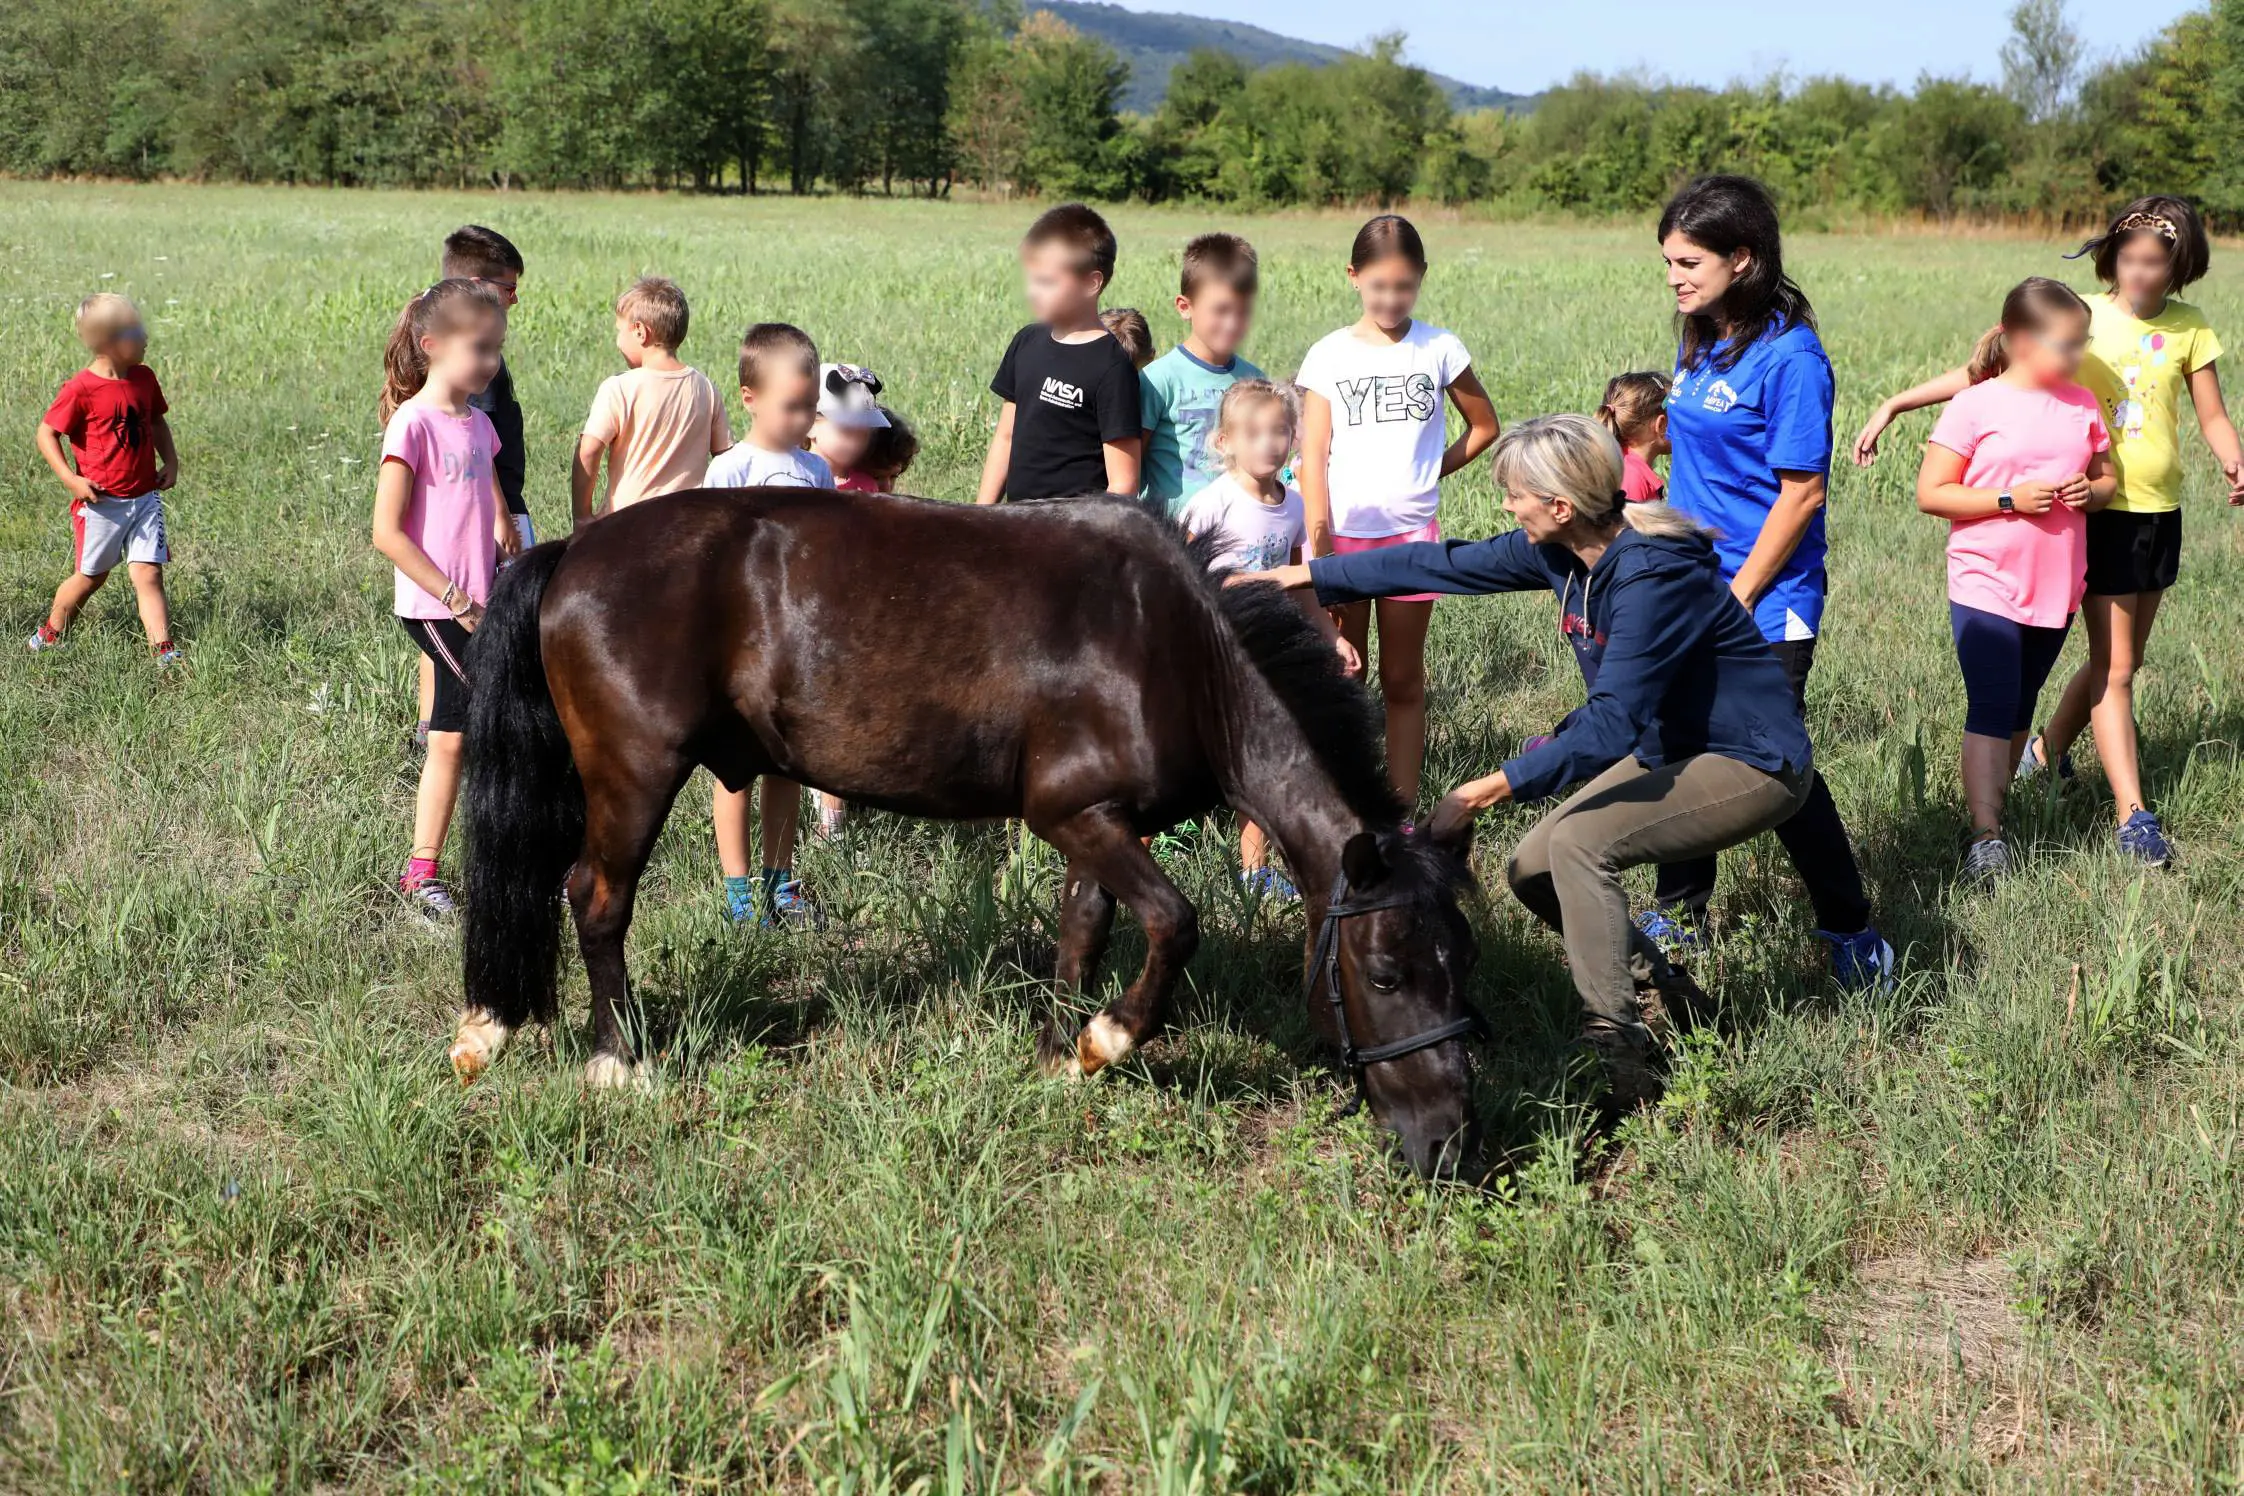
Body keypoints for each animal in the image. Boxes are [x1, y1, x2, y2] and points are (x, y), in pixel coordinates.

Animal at [451, 491, 1490, 1184]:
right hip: (633, 775)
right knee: (596, 898)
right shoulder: (1073, 817)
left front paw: (1060, 1054)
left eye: (1461, 966)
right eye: (1385, 974)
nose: (1449, 1143)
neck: (1178, 653)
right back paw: (616, 1059)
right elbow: (1174, 923)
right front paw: (1110, 1039)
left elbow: (1082, 935)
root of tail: (576, 548)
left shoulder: (1096, 823)